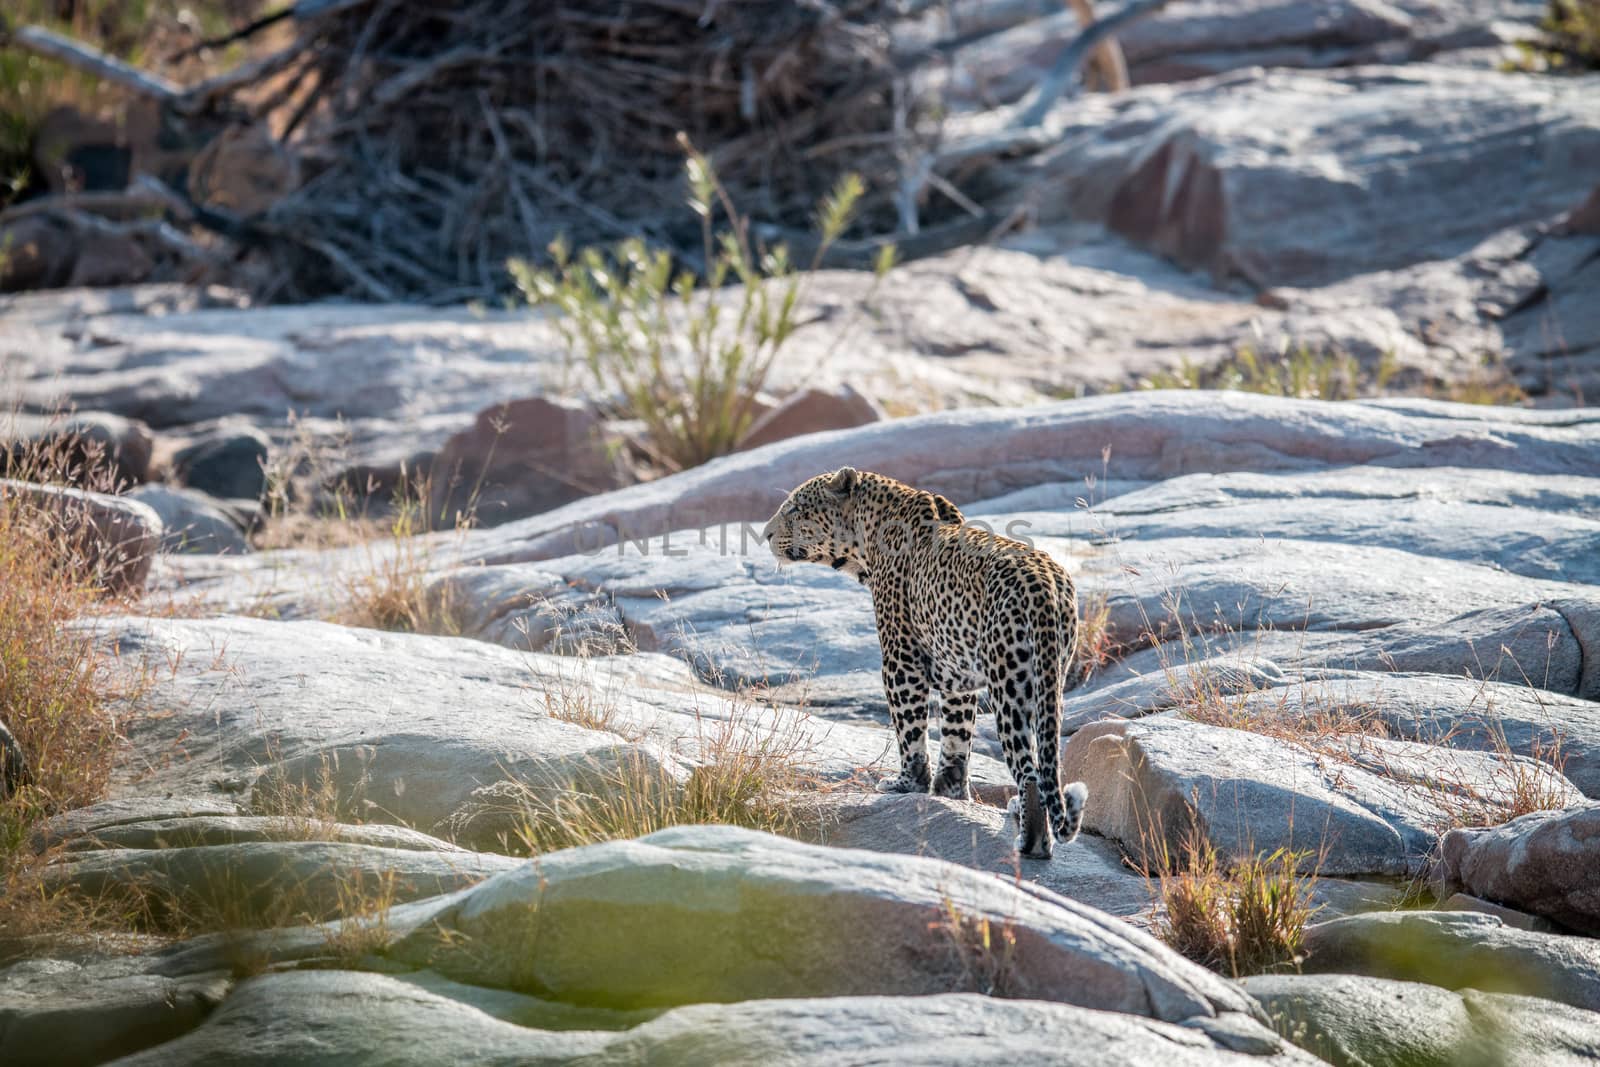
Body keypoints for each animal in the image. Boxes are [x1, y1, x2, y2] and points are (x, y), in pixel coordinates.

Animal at [761, 467, 1088, 857]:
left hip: (1009, 684)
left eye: (795, 508)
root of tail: (1045, 584)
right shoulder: (957, 672)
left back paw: (1030, 841)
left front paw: (908, 783)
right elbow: (956, 736)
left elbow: (910, 730)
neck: (869, 533)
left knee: (1029, 771)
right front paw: (950, 792)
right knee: (1043, 759)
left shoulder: (901, 662)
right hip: (1050, 679)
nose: (764, 534)